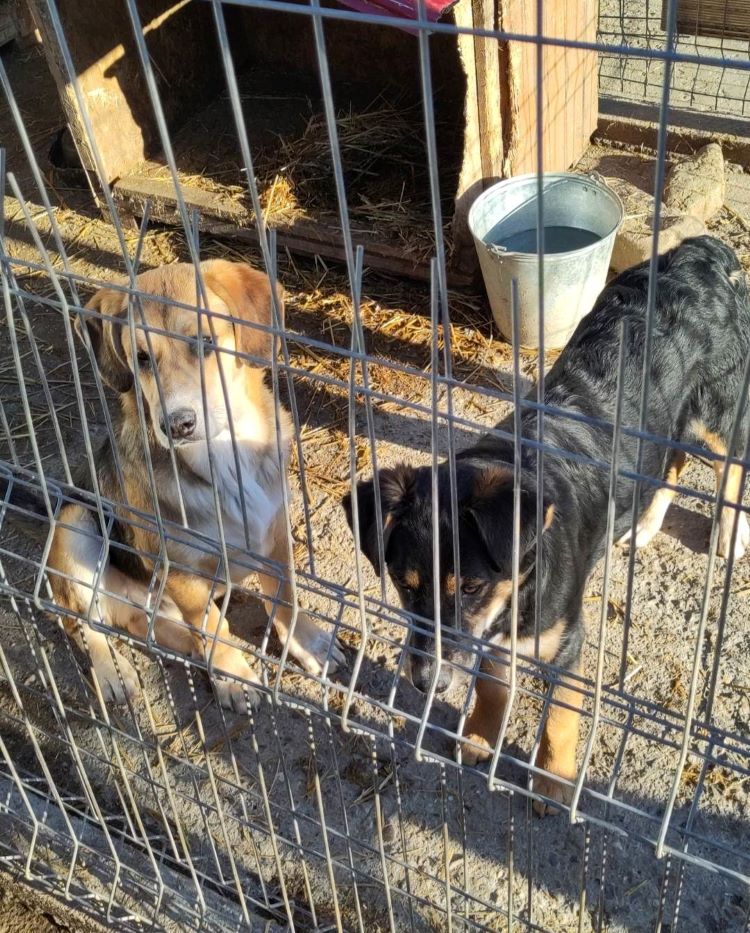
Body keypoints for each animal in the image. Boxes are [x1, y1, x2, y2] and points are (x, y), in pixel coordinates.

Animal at [2, 258, 344, 708]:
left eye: (205, 341)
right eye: (142, 358)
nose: (178, 424)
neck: (223, 460)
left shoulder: (275, 535)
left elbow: (285, 599)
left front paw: (309, 644)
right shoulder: (181, 571)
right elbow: (215, 628)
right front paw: (234, 678)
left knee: (144, 627)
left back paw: (188, 650)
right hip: (75, 523)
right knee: (80, 623)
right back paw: (114, 674)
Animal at [348, 237, 750, 812]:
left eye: (470, 586)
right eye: (405, 586)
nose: (427, 683)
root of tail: (705, 249)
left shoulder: (567, 643)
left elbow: (560, 716)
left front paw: (553, 779)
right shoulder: (494, 638)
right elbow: (493, 686)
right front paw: (479, 736)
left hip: (719, 412)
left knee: (731, 467)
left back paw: (729, 535)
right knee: (669, 462)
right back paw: (646, 525)